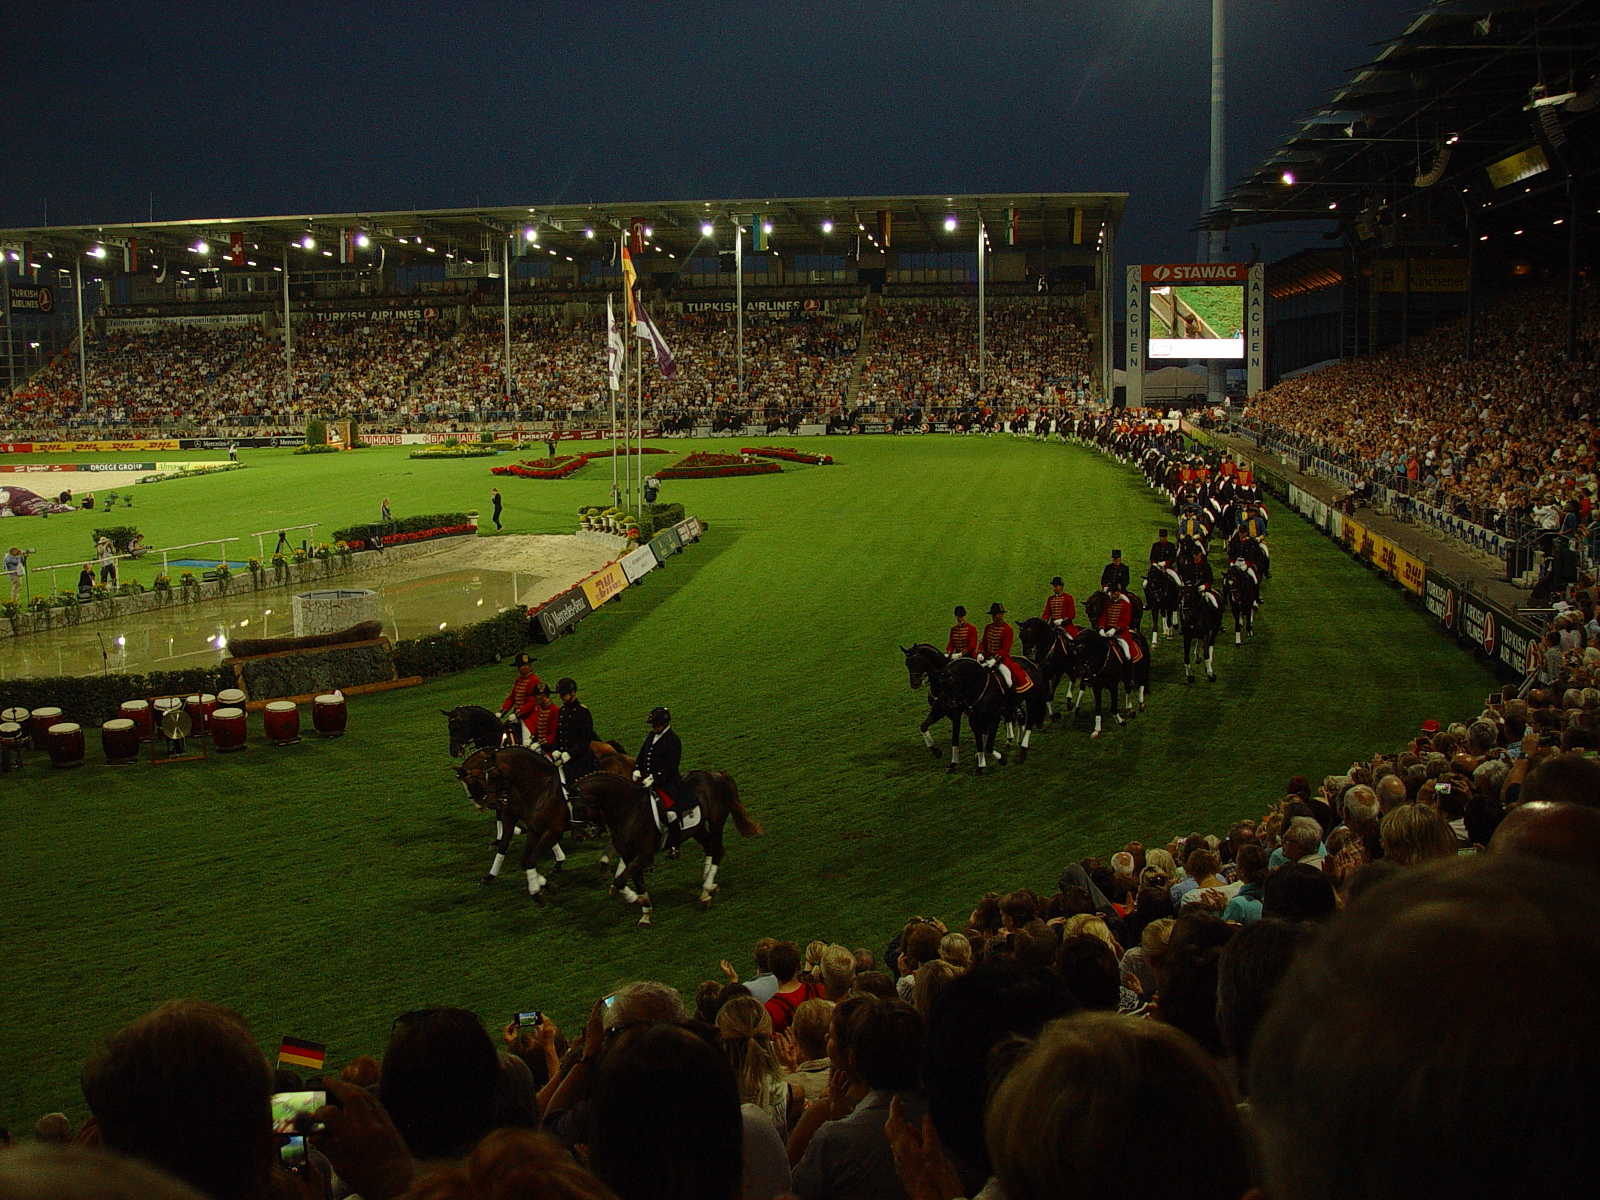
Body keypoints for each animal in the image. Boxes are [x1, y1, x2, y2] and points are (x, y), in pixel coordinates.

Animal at [574, 769, 762, 926]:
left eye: (580, 806)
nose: (578, 836)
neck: (629, 811)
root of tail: (716, 774)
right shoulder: (629, 856)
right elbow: (632, 881)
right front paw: (645, 912)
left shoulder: (644, 855)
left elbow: (620, 881)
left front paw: (635, 900)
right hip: (698, 829)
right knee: (709, 848)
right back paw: (707, 887)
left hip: (716, 821)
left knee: (717, 850)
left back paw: (706, 890)